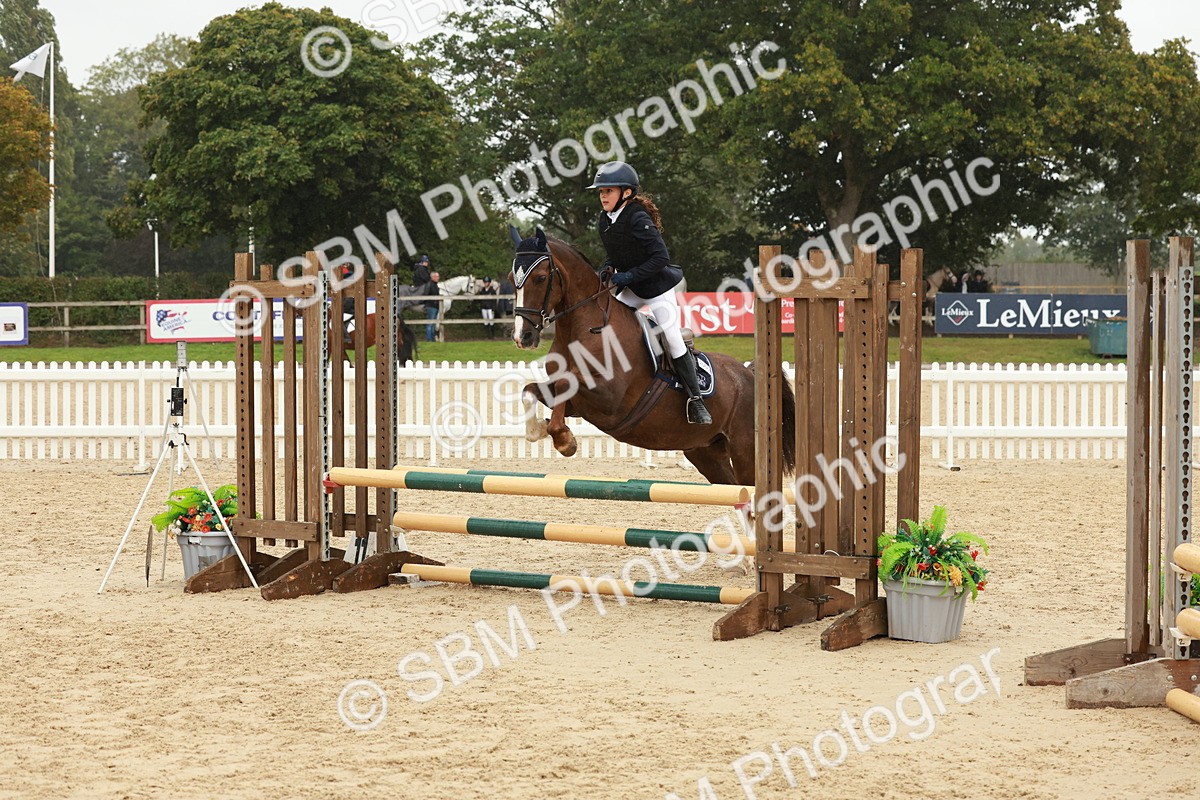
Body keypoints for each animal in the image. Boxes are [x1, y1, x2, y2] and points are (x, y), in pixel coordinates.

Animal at [507, 227, 796, 486]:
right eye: (512, 279)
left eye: (540, 278)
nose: (523, 337)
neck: (586, 328)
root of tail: (750, 374)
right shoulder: (580, 405)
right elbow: (530, 390)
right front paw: (539, 429)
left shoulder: (609, 400)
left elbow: (566, 383)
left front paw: (565, 441)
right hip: (706, 452)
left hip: (745, 449)